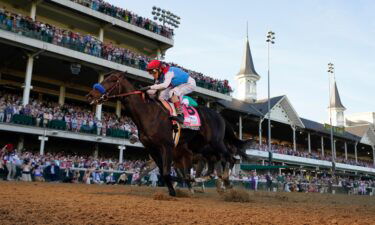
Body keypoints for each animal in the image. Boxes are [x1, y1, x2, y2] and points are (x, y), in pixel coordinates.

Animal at [86, 72, 248, 195]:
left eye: (111, 80)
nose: (90, 95)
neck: (148, 113)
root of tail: (220, 116)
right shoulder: (153, 148)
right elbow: (163, 171)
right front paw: (174, 187)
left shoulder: (168, 146)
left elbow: (166, 172)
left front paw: (176, 189)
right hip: (202, 147)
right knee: (214, 165)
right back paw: (206, 180)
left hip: (215, 142)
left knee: (230, 158)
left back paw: (226, 182)